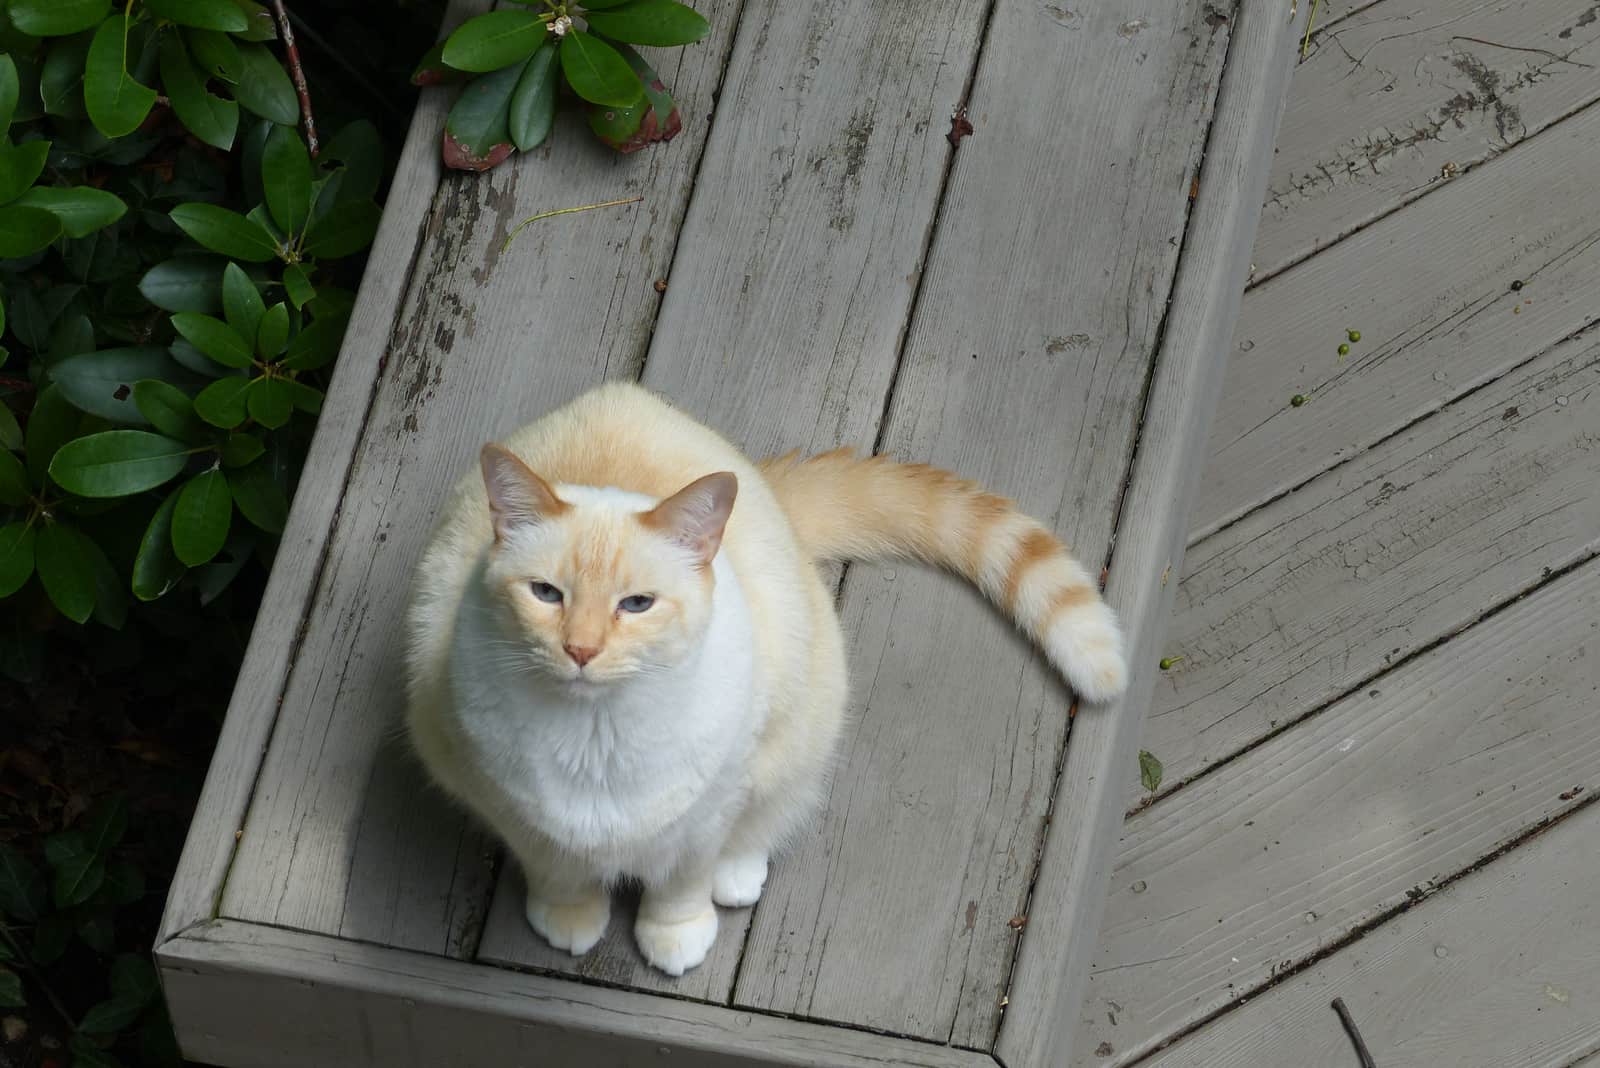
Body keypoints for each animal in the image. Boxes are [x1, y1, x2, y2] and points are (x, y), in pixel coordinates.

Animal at [406, 383, 1120, 978]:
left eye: (636, 605)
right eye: (546, 594)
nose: (580, 649)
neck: (596, 733)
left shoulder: (706, 812)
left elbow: (682, 882)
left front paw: (676, 935)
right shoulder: (513, 809)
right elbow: (558, 871)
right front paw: (570, 917)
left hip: (800, 719)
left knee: (770, 813)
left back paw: (738, 873)